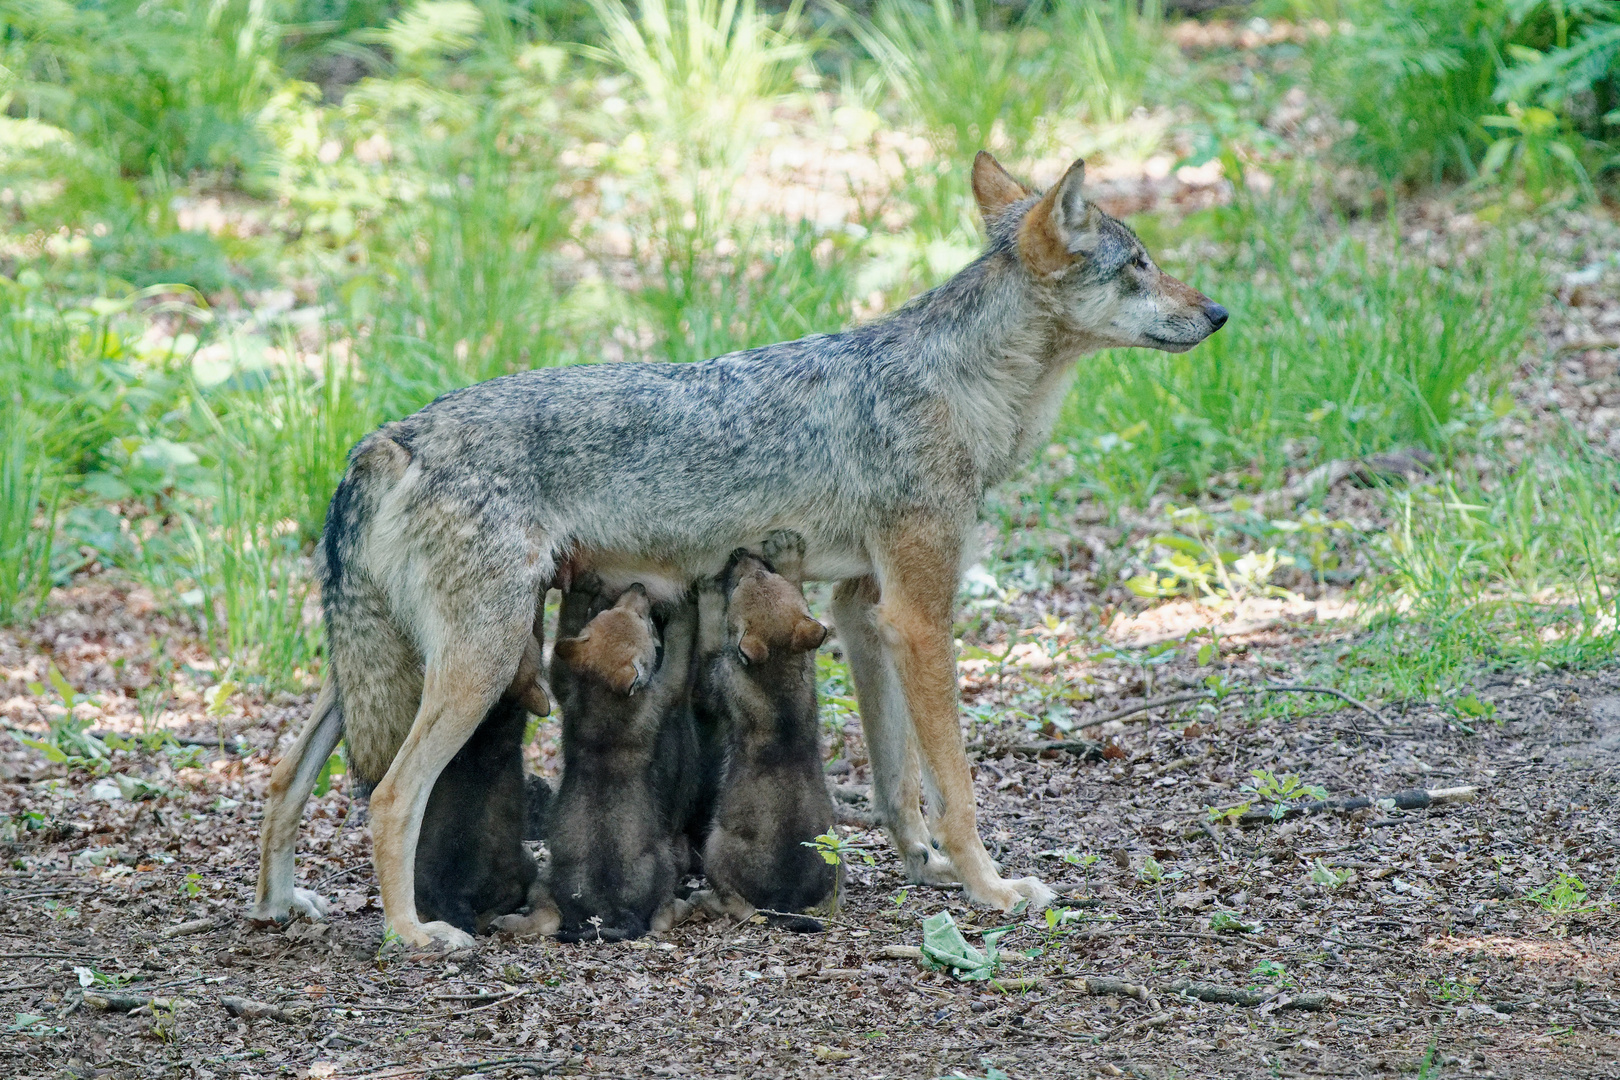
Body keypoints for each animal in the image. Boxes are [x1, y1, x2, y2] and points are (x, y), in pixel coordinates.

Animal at [690, 550, 835, 932]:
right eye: (767, 573)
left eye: (738, 584)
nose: (740, 552)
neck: (778, 666)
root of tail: (785, 900)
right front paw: (790, 554)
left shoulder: (712, 685)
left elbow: (708, 642)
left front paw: (706, 597)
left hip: (714, 847)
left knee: (738, 904)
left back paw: (703, 898)